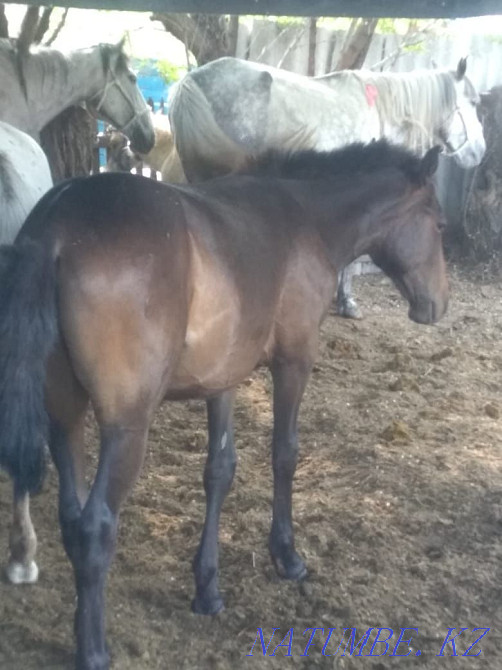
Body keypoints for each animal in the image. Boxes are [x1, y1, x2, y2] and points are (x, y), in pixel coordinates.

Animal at [0, 139, 448, 668]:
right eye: (440, 223)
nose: (437, 304)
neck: (305, 219)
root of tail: (56, 226)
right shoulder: (295, 360)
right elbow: (285, 454)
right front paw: (287, 556)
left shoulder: (223, 378)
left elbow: (219, 470)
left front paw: (208, 588)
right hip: (126, 427)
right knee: (94, 527)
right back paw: (93, 650)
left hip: (64, 416)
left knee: (71, 517)